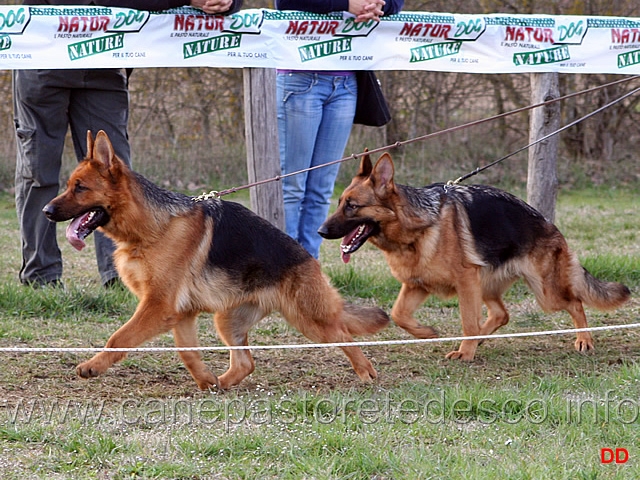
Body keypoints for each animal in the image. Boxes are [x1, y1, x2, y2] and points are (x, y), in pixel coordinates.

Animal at [43, 131, 390, 390]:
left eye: (80, 188)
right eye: (69, 186)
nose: (46, 211)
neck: (153, 226)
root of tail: (308, 258)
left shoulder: (157, 306)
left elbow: (119, 337)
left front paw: (93, 366)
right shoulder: (179, 314)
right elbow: (187, 351)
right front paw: (205, 381)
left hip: (310, 319)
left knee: (344, 334)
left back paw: (367, 372)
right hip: (227, 320)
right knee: (246, 362)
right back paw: (222, 383)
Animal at [320, 153, 632, 360]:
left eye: (352, 206)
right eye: (339, 203)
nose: (321, 231)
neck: (416, 228)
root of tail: (549, 224)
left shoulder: (464, 281)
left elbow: (467, 321)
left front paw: (465, 352)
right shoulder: (417, 285)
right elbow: (398, 315)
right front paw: (427, 332)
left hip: (545, 293)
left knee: (575, 303)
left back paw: (584, 340)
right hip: (488, 287)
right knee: (502, 314)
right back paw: (482, 336)